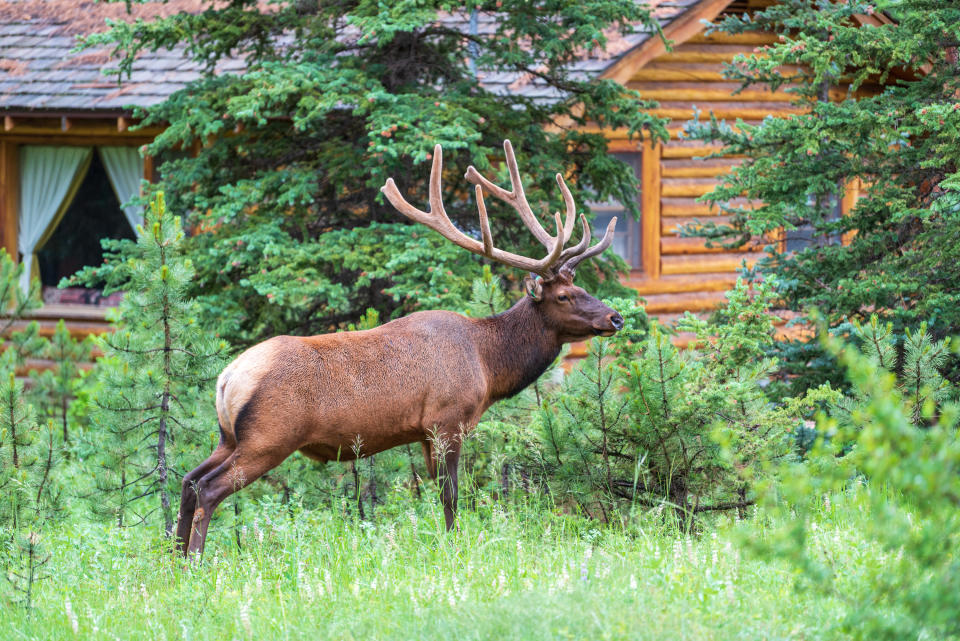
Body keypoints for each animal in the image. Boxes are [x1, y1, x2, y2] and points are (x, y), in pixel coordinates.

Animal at [176, 140, 628, 556]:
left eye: (582, 288)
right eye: (564, 296)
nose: (615, 318)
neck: (489, 363)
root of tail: (227, 378)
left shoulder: (425, 432)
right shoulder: (447, 419)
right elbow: (451, 494)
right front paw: (454, 546)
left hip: (229, 436)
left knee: (188, 480)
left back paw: (174, 557)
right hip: (269, 437)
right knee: (210, 488)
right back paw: (197, 560)